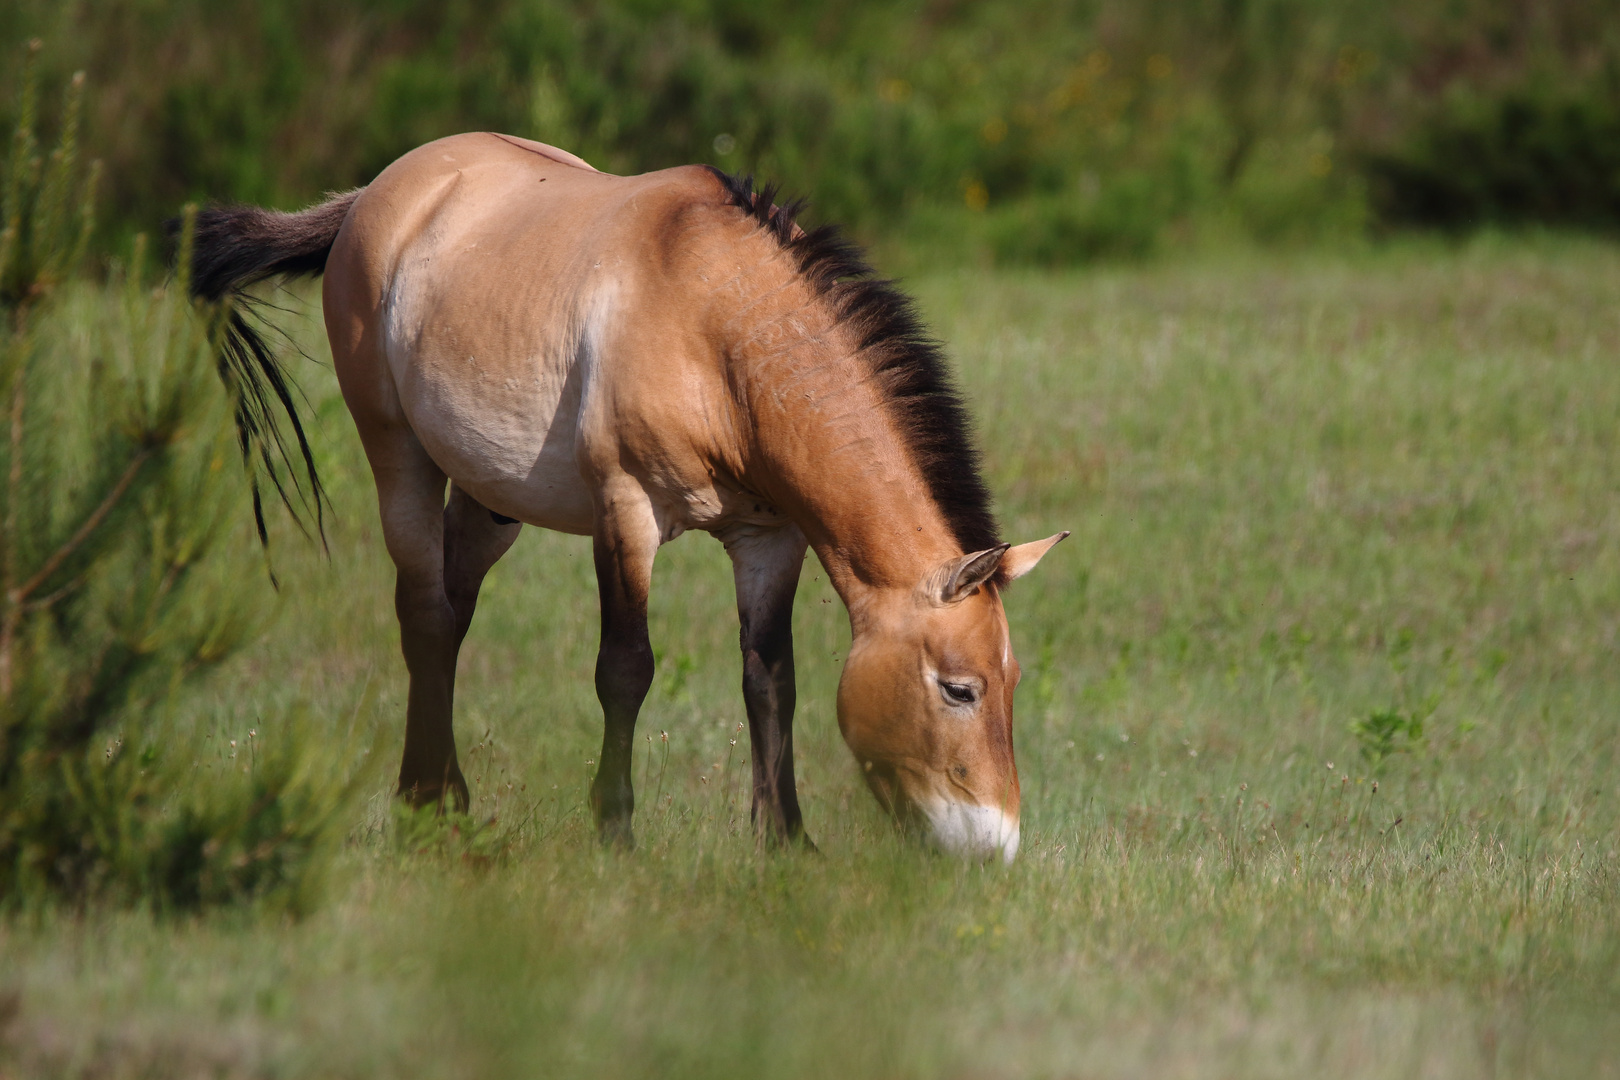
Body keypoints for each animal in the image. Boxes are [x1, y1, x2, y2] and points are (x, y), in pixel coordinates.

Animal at [186, 132, 1062, 861]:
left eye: (1014, 682)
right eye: (960, 689)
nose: (996, 846)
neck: (715, 333)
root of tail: (376, 193)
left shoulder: (770, 539)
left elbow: (770, 679)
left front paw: (785, 842)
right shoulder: (626, 512)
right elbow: (625, 669)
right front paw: (615, 831)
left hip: (488, 499)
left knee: (451, 615)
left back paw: (441, 796)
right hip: (399, 454)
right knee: (425, 615)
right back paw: (428, 809)